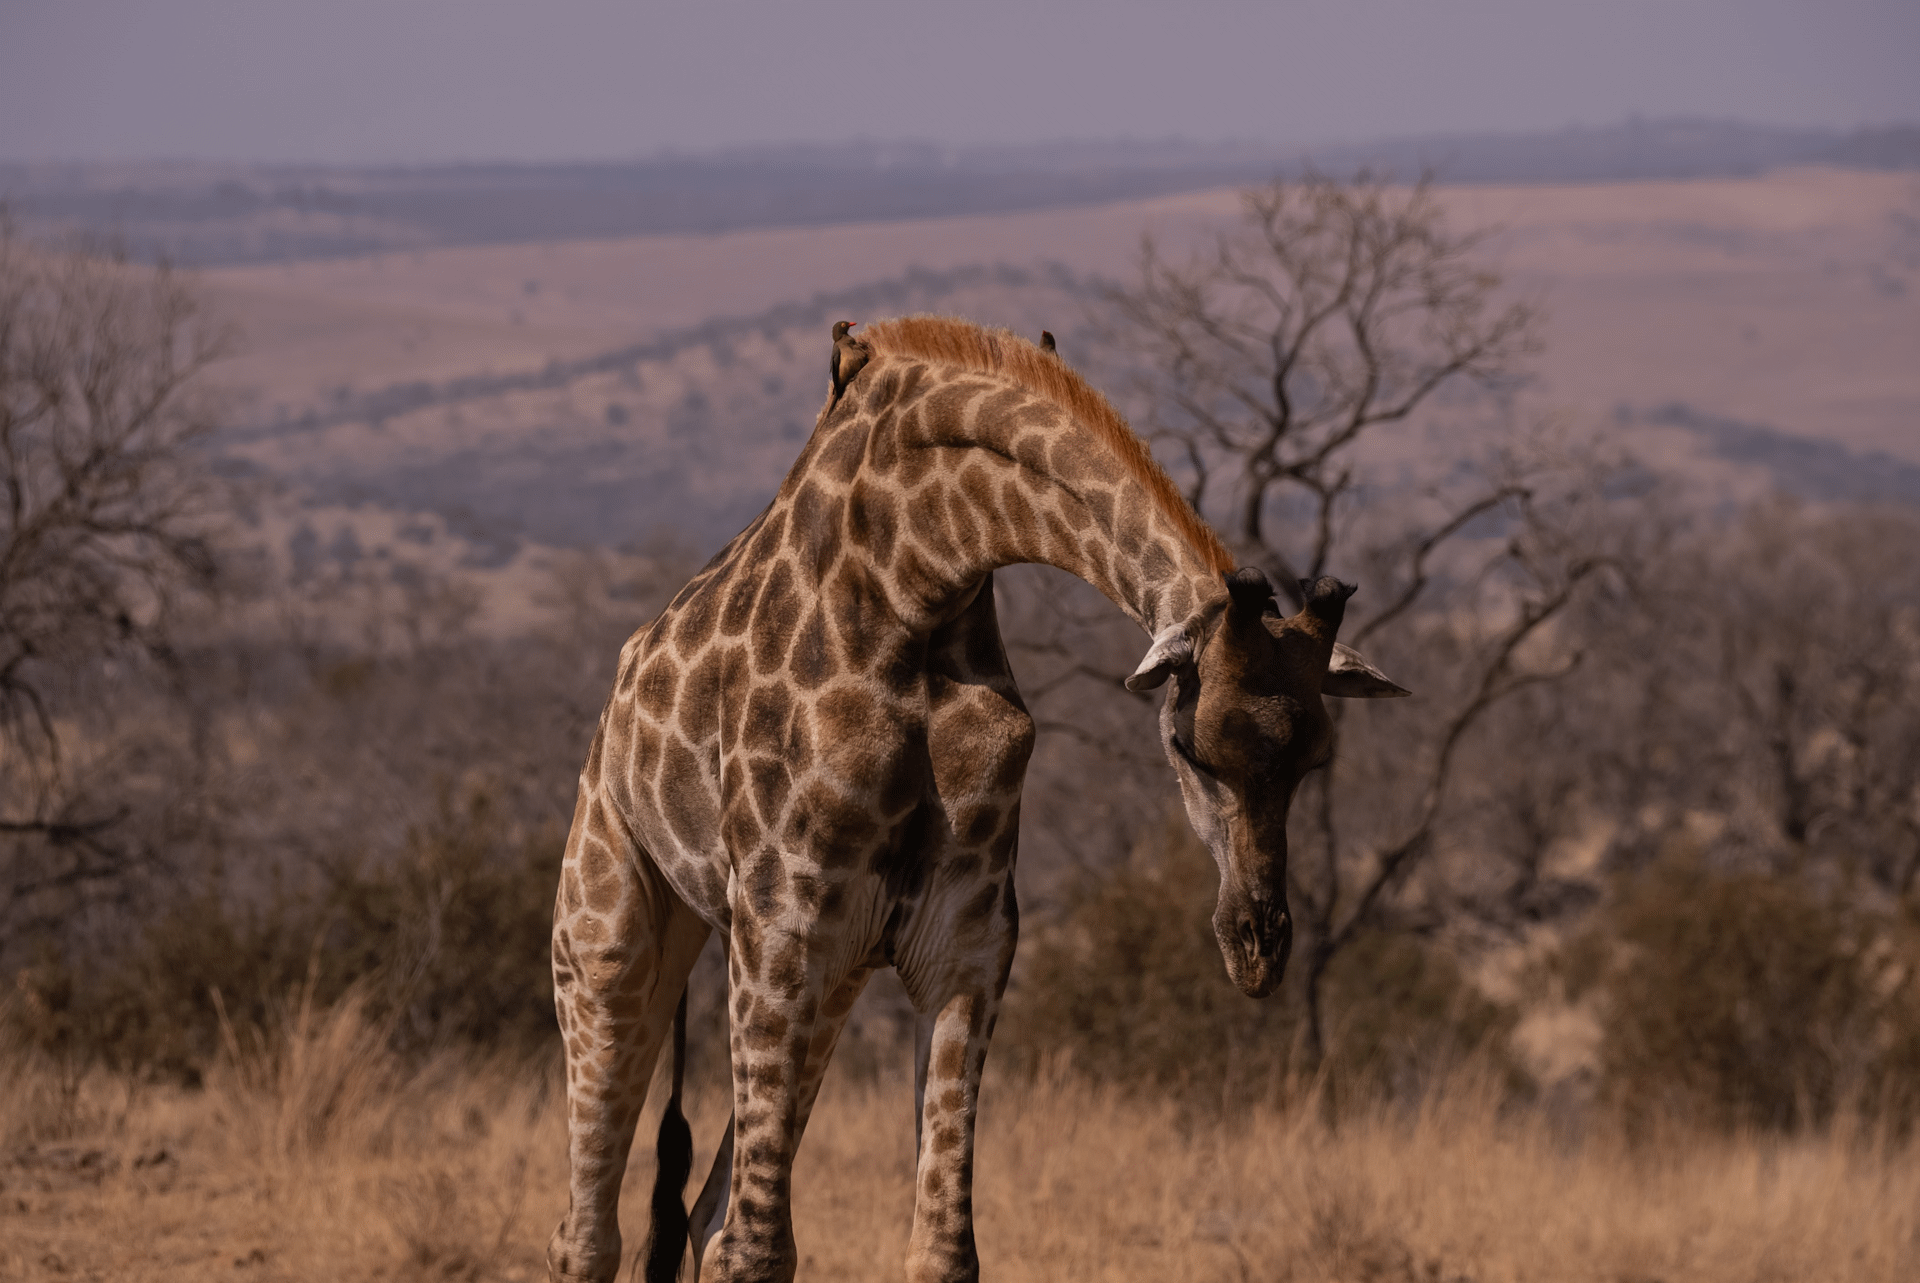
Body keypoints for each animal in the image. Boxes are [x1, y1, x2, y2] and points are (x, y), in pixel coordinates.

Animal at [546, 316, 1408, 1283]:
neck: (919, 578)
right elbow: (758, 1246)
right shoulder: (780, 926)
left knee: (701, 1211)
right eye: (1189, 746)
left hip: (832, 978)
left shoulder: (964, 942)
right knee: (593, 1231)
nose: (1257, 947)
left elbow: (940, 1247)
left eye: (1315, 761)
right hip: (610, 929)